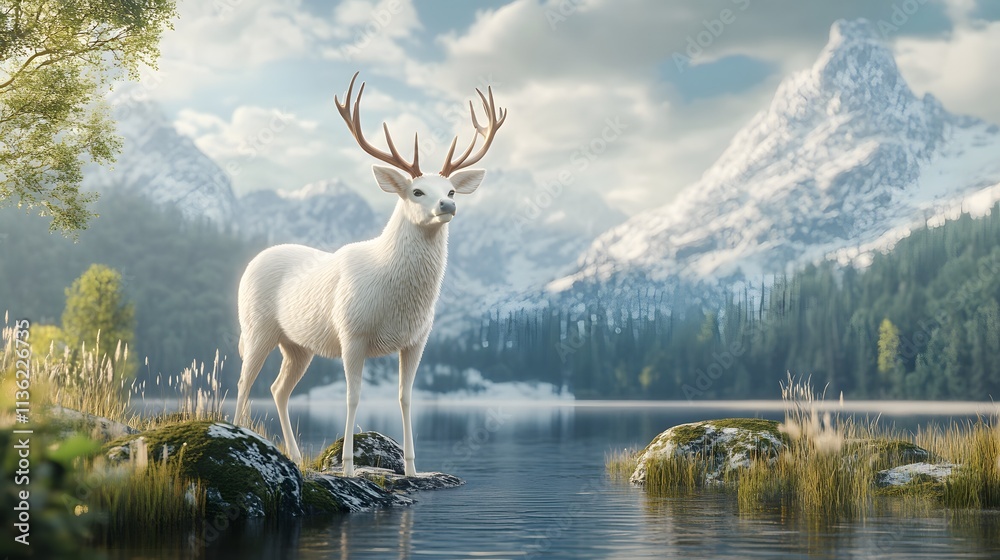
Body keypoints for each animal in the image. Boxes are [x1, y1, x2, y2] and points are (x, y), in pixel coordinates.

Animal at [234, 73, 506, 477]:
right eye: (417, 191)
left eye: (452, 189)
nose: (447, 205)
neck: (396, 295)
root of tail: (251, 263)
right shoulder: (352, 332)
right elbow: (353, 396)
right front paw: (348, 467)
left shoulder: (417, 339)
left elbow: (405, 397)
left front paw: (412, 469)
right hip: (257, 327)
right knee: (244, 381)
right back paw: (237, 433)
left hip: (297, 345)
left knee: (278, 389)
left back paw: (294, 456)